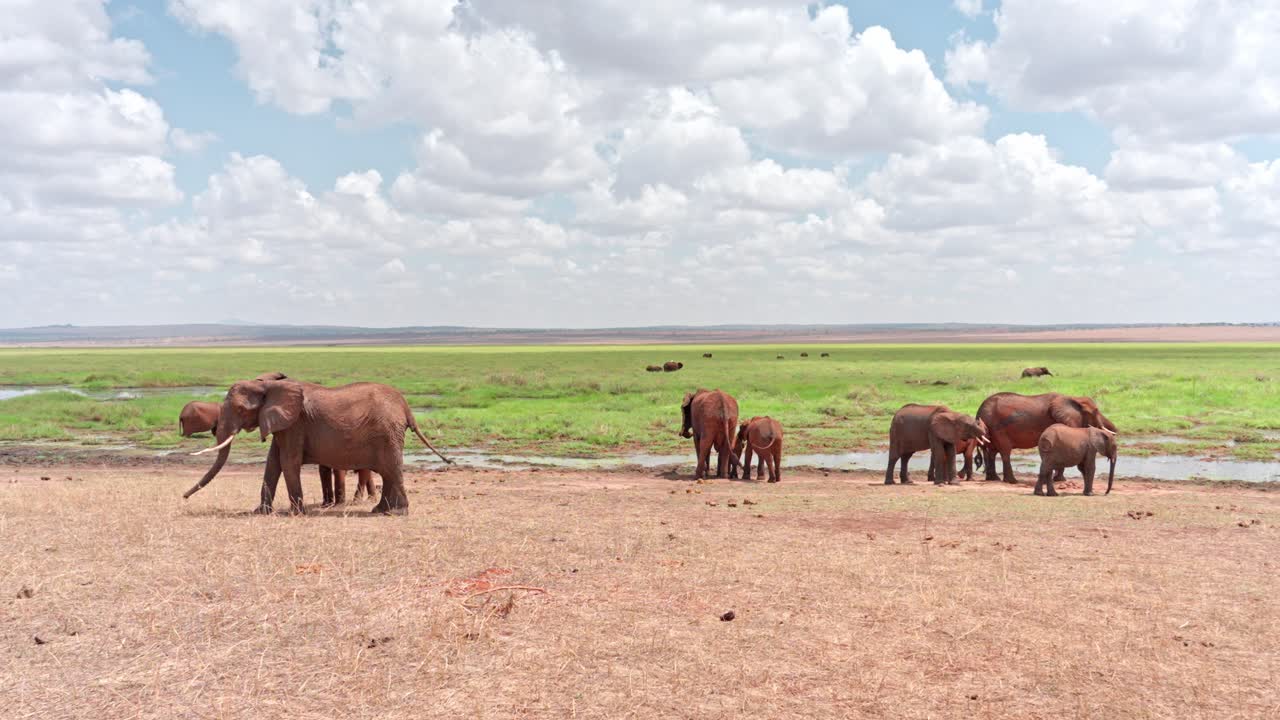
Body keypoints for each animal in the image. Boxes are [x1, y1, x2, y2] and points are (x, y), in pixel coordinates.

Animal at [184, 377, 452, 515]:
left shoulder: (295, 424)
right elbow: (272, 465)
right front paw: (260, 512)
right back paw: (380, 510)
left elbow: (287, 463)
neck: (267, 384)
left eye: (240, 410)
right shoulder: (283, 424)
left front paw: (295, 514)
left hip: (387, 433)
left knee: (391, 469)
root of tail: (406, 407)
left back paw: (395, 513)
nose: (184, 497)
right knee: (387, 472)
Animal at [977, 393, 1117, 484]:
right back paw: (1012, 481)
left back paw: (993, 479)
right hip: (998, 428)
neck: (1074, 398)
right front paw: (1059, 480)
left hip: (991, 429)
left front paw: (1058, 480)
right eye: (1096, 411)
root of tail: (979, 411)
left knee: (992, 452)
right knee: (1005, 451)